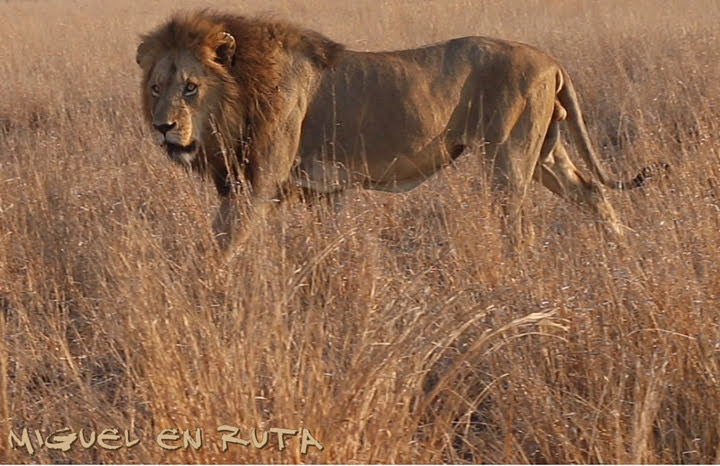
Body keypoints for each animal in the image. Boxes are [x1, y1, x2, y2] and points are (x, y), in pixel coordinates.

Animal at [136, 10, 664, 251]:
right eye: (156, 88)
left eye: (191, 88)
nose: (163, 128)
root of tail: (552, 60)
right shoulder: (323, 190)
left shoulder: (256, 180)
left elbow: (223, 244)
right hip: (545, 154)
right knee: (592, 190)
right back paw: (621, 250)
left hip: (508, 157)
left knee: (517, 225)